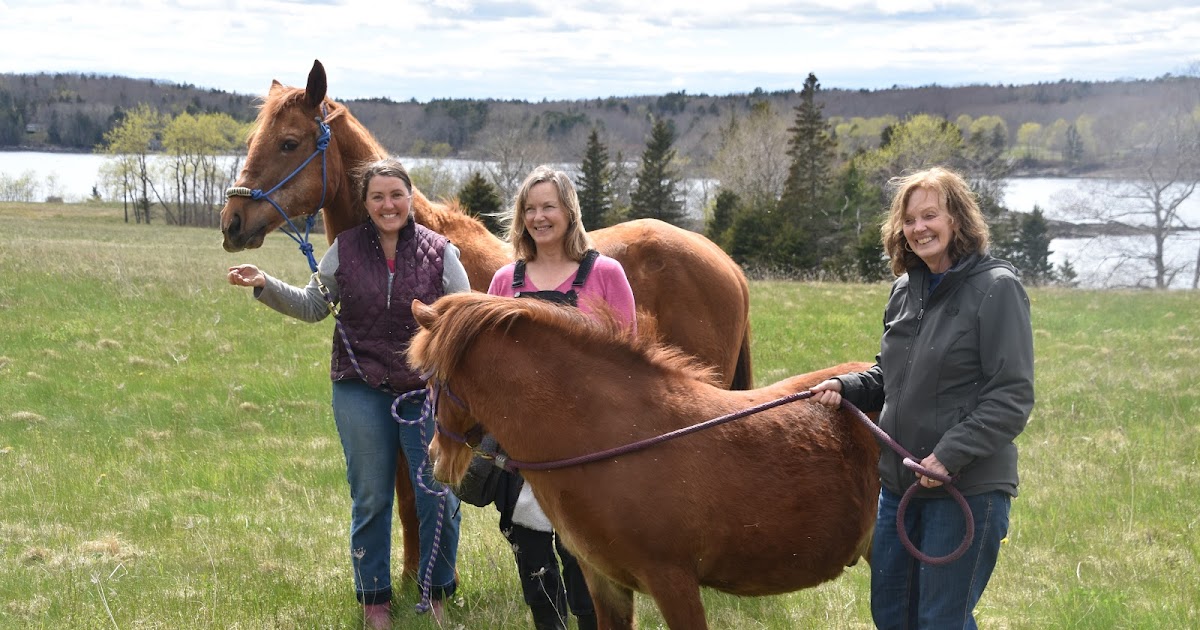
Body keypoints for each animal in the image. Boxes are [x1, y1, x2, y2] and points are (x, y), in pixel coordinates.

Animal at [218, 60, 755, 580]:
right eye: (253, 140)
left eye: (289, 142)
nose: (232, 222)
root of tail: (727, 265)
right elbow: (408, 499)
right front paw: (413, 579)